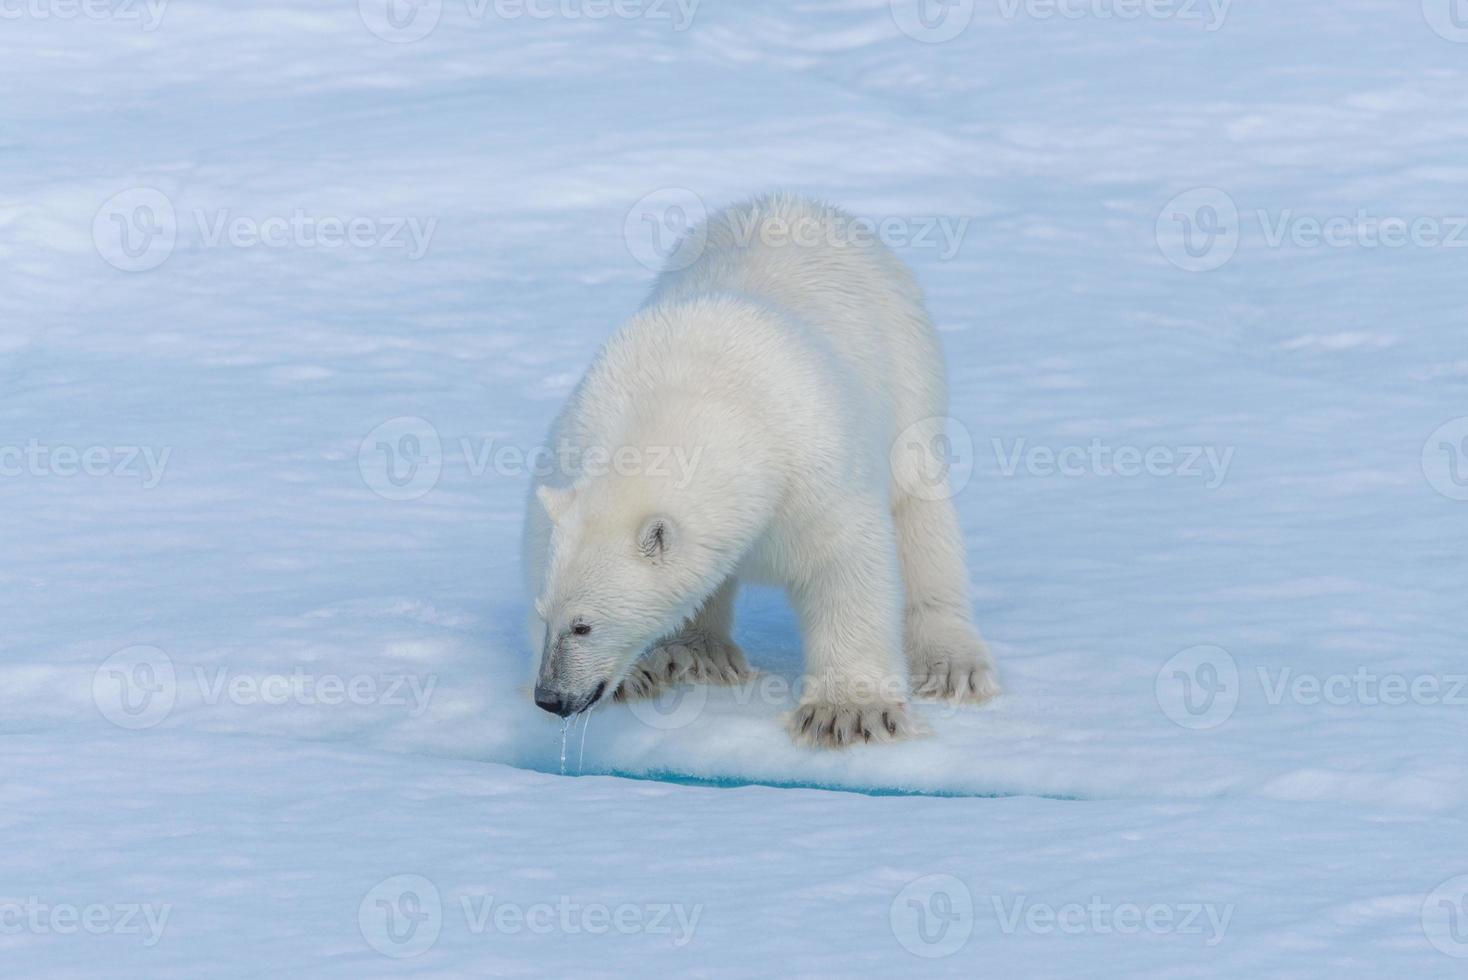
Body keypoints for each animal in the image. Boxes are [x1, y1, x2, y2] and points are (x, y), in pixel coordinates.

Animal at [519, 190, 998, 745]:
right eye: (544, 615)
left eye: (583, 625)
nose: (550, 697)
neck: (685, 404)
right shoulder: (578, 436)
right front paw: (637, 674)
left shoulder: (812, 463)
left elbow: (844, 562)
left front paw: (848, 712)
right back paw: (693, 652)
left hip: (909, 381)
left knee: (921, 519)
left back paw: (952, 664)